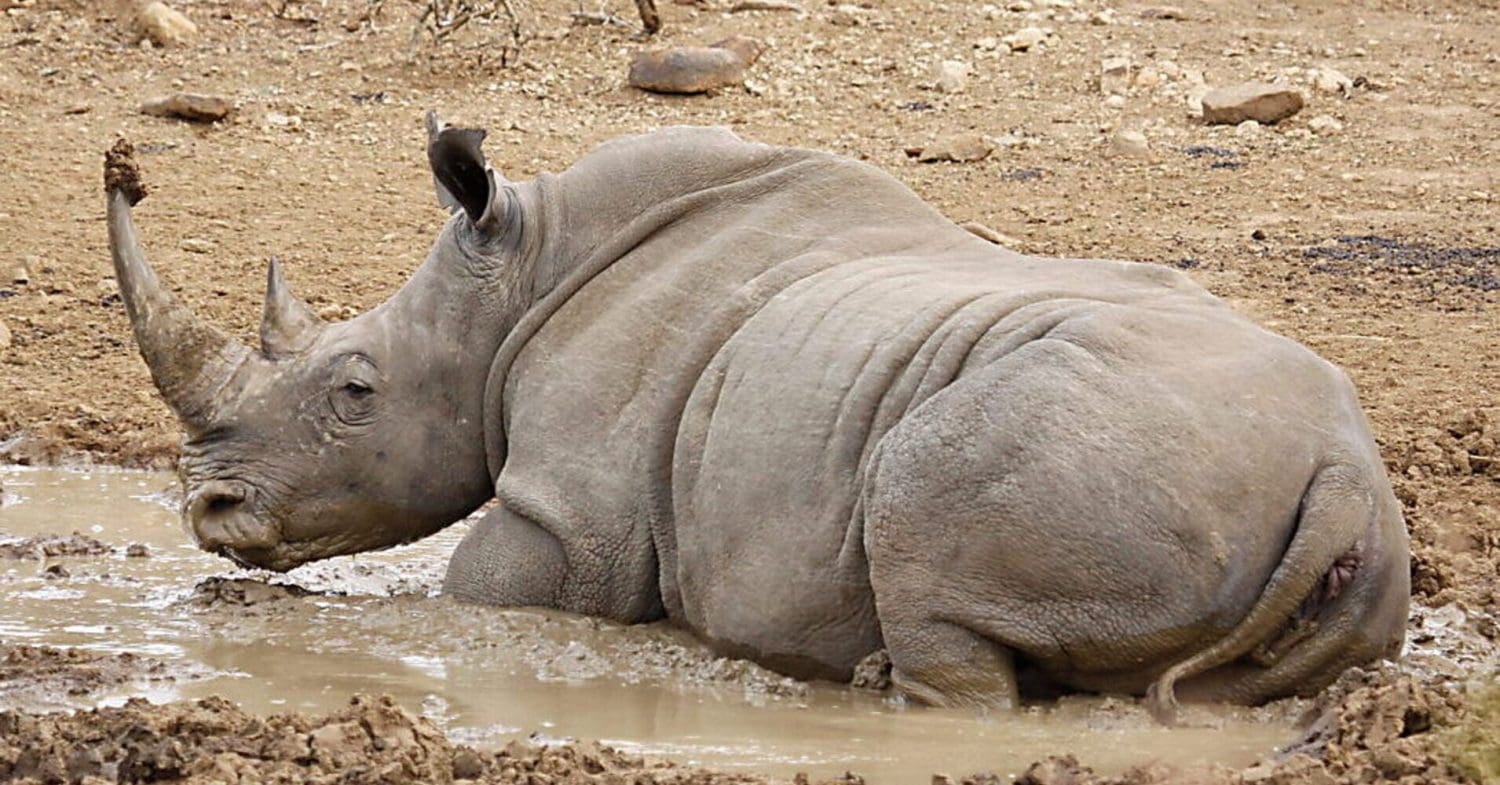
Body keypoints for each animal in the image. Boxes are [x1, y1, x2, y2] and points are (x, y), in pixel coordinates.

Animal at [102, 114, 1409, 721]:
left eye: (354, 391)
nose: (209, 505)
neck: (518, 275)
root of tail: (1346, 469)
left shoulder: (572, 523)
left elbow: (477, 587)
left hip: (1085, 434)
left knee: (927, 502)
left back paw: (886, 689)